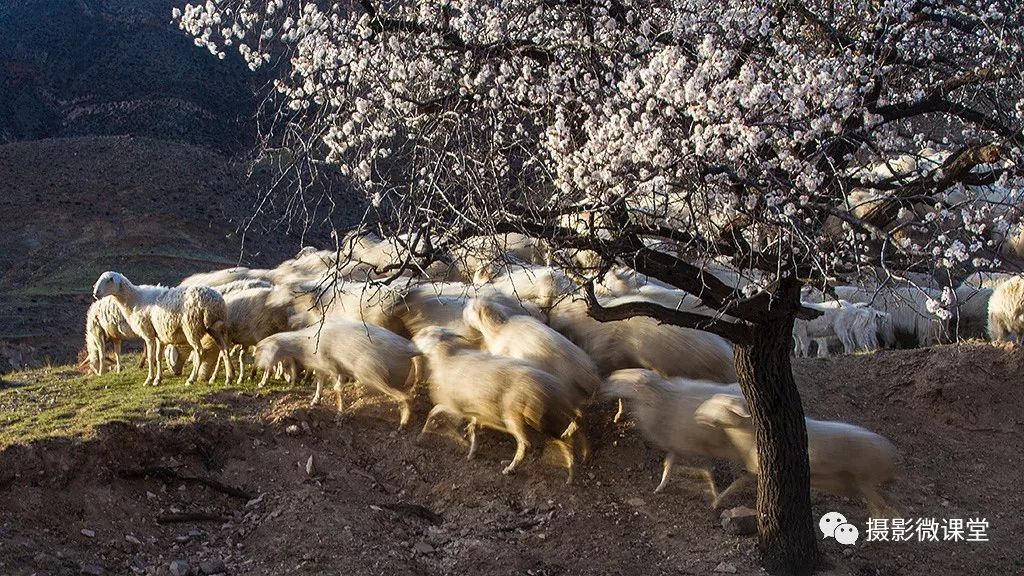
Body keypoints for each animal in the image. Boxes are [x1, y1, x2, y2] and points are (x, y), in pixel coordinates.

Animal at [92, 270, 232, 385]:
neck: (134, 300)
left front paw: (149, 379)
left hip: (191, 327)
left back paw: (191, 379)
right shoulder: (159, 335)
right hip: (214, 328)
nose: (95, 293)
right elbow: (158, 357)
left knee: (199, 351)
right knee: (224, 349)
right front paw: (157, 379)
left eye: (109, 280)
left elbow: (150, 357)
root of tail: (214, 300)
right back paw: (228, 378)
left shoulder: (148, 333)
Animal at [413, 327, 577, 479]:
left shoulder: (454, 406)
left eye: (425, 333)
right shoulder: (474, 409)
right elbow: (474, 429)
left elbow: (433, 411)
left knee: (526, 444)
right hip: (548, 419)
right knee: (566, 441)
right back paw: (569, 472)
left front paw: (422, 436)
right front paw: (471, 450)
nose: (413, 339)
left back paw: (511, 468)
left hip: (515, 416)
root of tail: (552, 389)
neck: (446, 359)